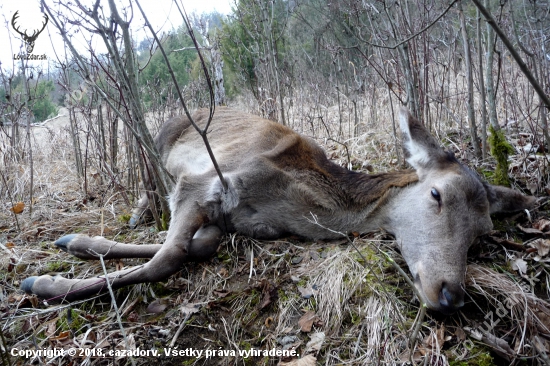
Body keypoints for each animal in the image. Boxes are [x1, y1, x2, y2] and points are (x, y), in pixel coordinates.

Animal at [20, 106, 536, 314]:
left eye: (482, 233)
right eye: (436, 196)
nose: (450, 293)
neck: (300, 207)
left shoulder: (246, 222)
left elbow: (194, 246)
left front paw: (77, 250)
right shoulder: (206, 180)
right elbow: (167, 258)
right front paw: (46, 284)